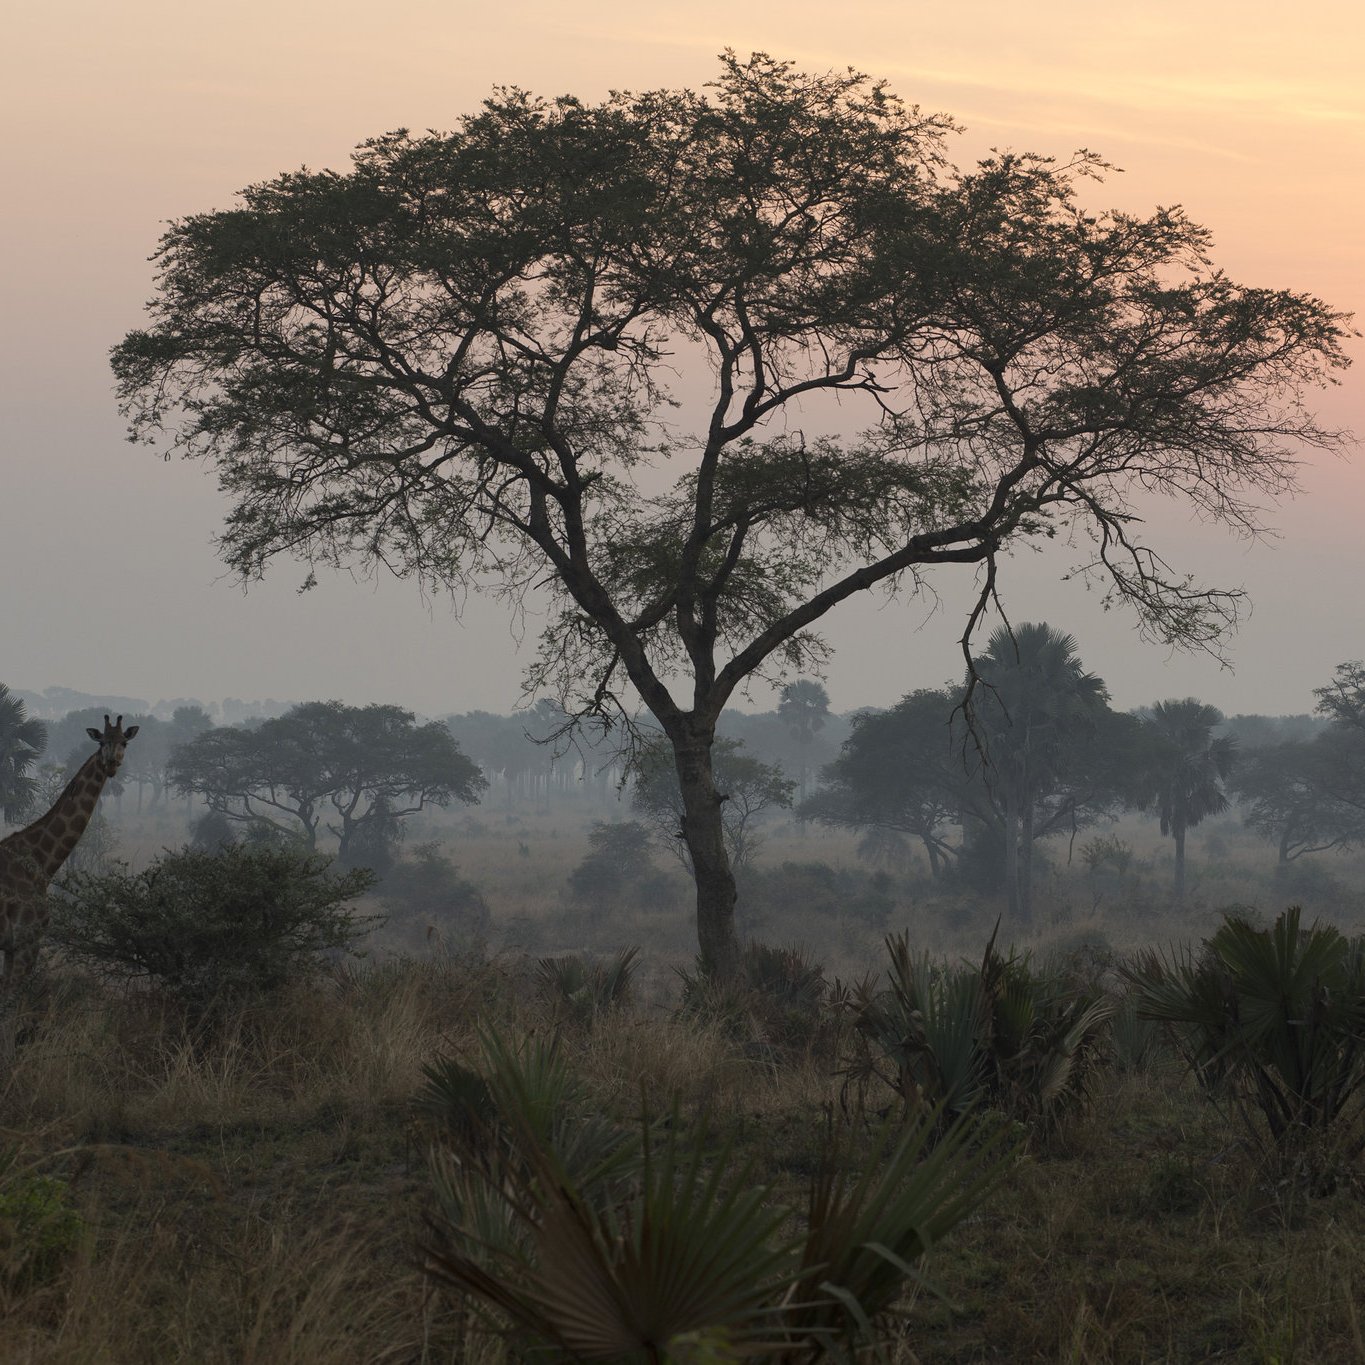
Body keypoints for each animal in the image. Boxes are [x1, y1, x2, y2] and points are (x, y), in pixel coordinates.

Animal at [0, 714, 139, 992]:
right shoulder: (25, 941)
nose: (112, 764)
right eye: (102, 742)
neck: (41, 861)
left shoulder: (13, 947)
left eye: (124, 742)